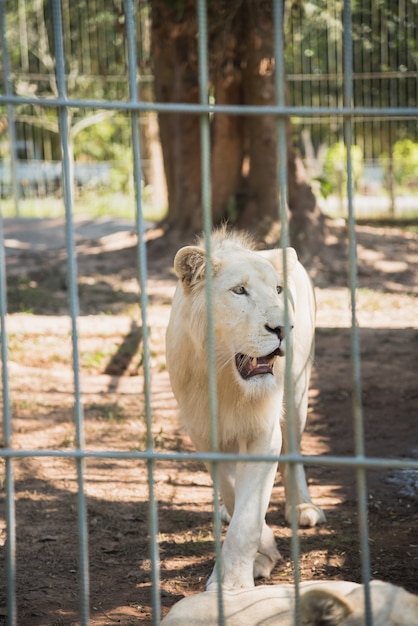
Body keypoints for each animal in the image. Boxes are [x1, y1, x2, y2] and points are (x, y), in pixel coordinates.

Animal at [165, 227, 324, 588]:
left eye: (278, 290)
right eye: (239, 291)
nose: (283, 328)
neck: (226, 379)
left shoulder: (264, 434)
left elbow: (248, 516)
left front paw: (233, 584)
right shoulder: (204, 433)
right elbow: (235, 492)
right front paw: (263, 552)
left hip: (297, 393)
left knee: (295, 451)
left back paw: (302, 507)